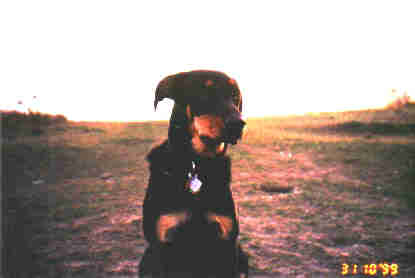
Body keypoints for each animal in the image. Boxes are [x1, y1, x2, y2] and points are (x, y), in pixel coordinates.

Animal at [140, 70, 250, 276]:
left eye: (235, 97)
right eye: (204, 93)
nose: (238, 124)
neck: (196, 164)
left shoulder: (227, 243)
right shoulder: (162, 245)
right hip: (146, 259)